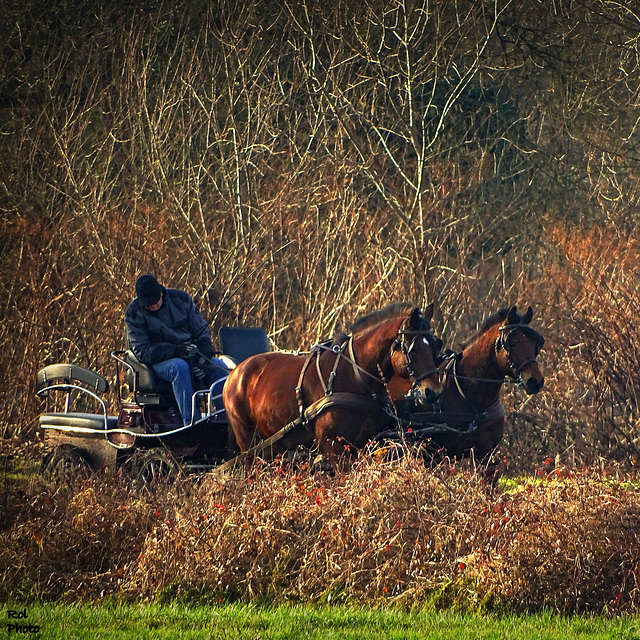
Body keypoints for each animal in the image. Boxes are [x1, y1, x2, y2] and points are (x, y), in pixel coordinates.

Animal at [222, 300, 442, 470]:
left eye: (436, 347)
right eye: (412, 349)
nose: (434, 392)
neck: (354, 376)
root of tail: (234, 373)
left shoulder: (364, 442)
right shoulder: (332, 445)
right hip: (250, 443)